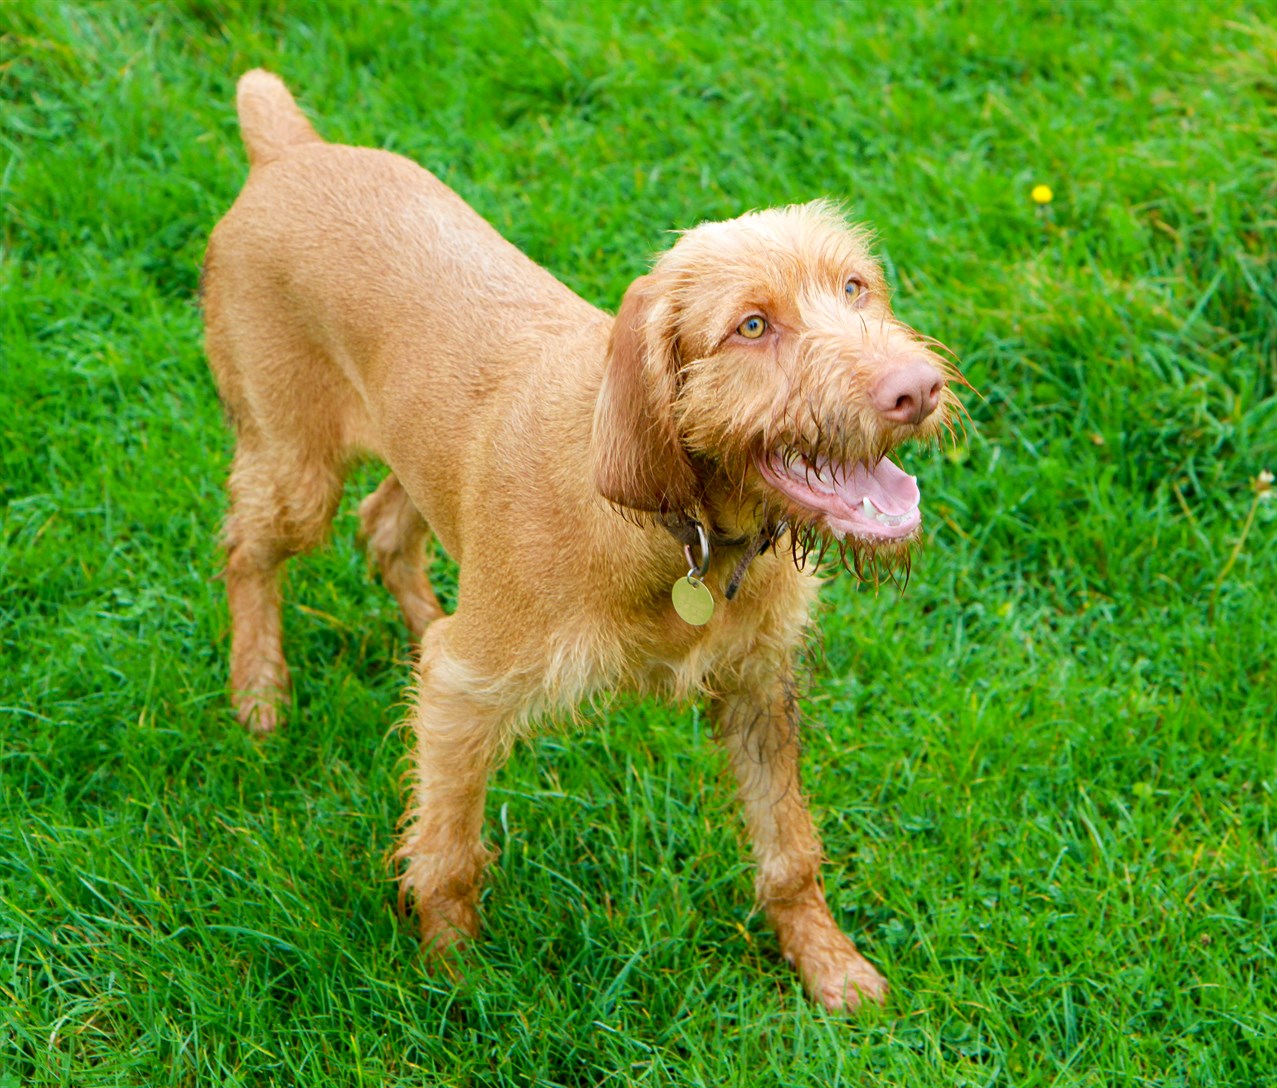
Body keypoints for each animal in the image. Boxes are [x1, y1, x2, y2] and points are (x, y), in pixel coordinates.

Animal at [201, 70, 960, 1011]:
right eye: (751, 326)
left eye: (856, 287)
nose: (917, 389)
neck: (683, 537)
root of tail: (289, 151)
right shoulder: (470, 689)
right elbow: (447, 854)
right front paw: (456, 985)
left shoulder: (757, 683)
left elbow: (789, 851)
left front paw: (828, 965)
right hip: (294, 468)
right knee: (248, 552)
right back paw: (259, 692)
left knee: (385, 530)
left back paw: (415, 625)